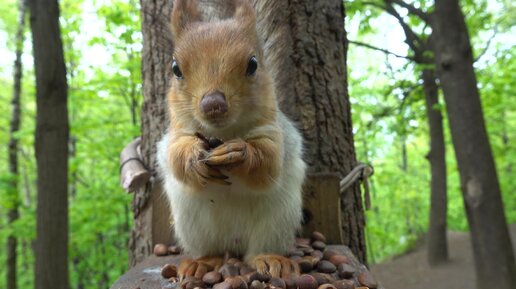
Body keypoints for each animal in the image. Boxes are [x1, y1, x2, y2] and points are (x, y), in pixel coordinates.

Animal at [155, 0, 304, 278]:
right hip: (194, 225)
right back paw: (203, 262)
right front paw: (192, 158)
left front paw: (239, 153)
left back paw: (270, 259)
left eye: (253, 64)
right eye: (175, 69)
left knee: (257, 250)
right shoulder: (176, 134)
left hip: (278, 219)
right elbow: (175, 155)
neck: (223, 134)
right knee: (211, 250)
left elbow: (268, 160)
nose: (213, 104)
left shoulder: (274, 132)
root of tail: (234, 243)